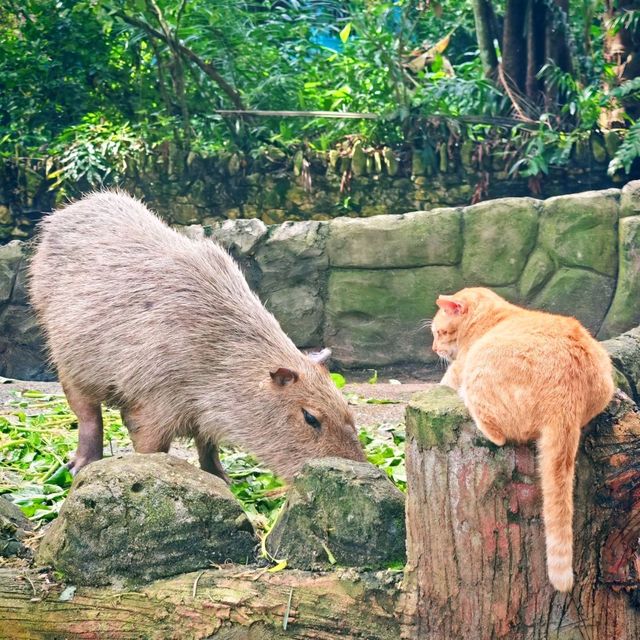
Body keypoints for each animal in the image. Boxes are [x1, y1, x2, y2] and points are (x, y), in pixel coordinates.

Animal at [430, 288, 616, 592]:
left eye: (438, 332)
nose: (434, 349)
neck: (493, 316)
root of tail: (567, 397)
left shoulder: (456, 371)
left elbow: (445, 380)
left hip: (478, 375)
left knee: (496, 434)